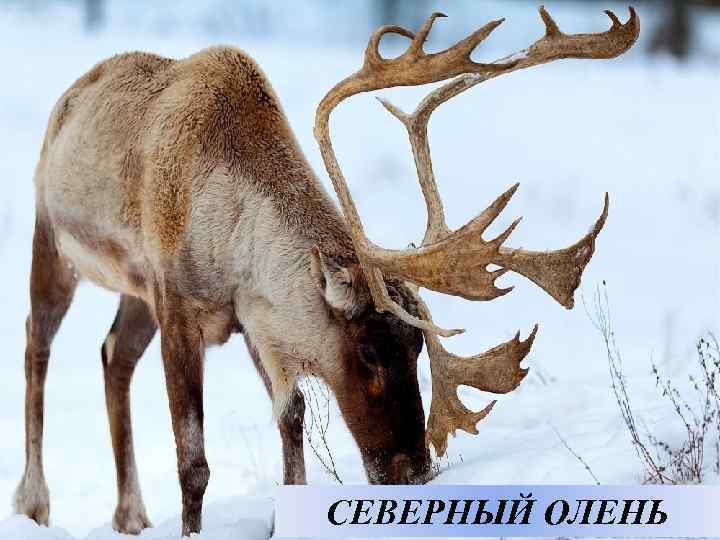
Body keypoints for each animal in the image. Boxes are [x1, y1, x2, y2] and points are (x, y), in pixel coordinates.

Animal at [14, 6, 639, 537]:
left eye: (416, 346)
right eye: (368, 352)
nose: (413, 472)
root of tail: (71, 95)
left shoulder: (255, 322)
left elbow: (291, 424)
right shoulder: (178, 305)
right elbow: (194, 463)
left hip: (133, 294)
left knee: (112, 355)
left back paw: (130, 514)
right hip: (52, 240)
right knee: (35, 346)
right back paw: (34, 502)